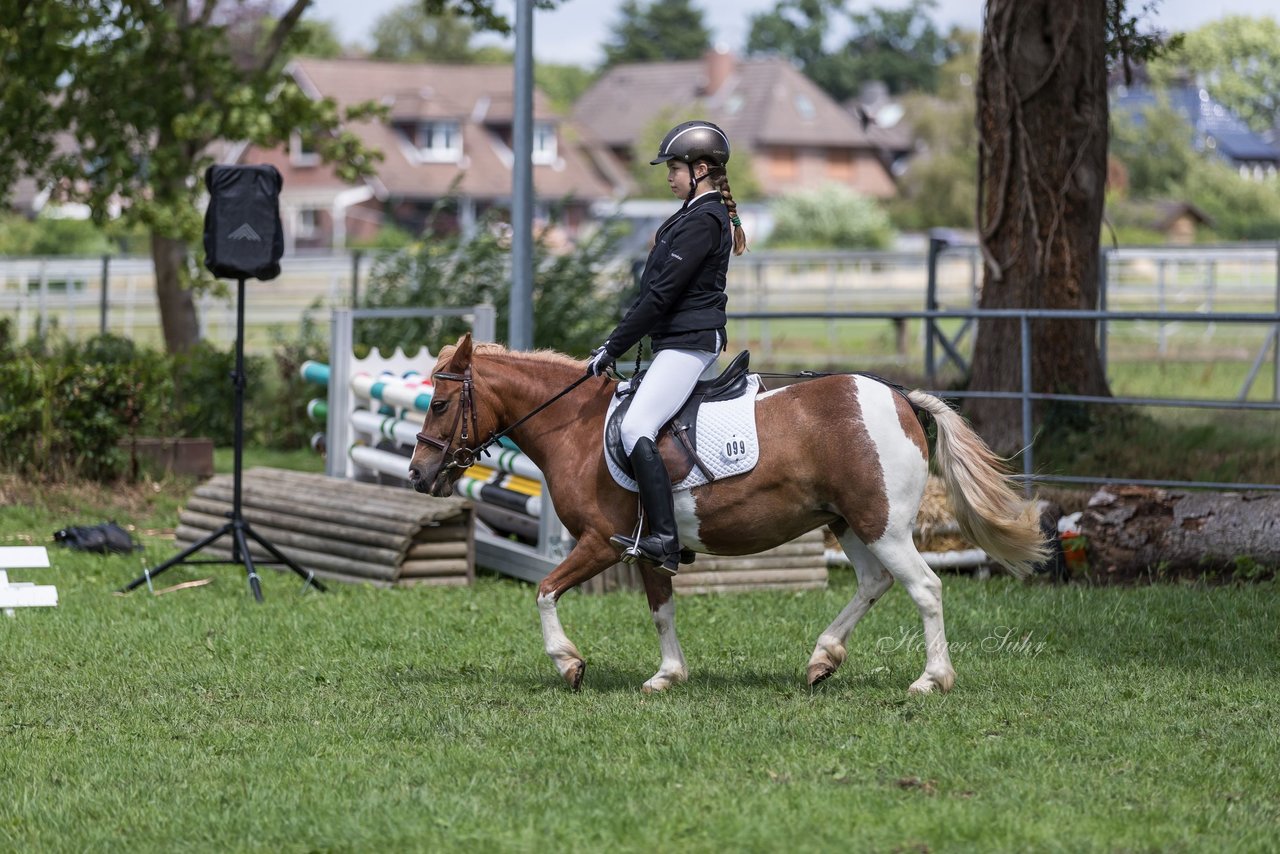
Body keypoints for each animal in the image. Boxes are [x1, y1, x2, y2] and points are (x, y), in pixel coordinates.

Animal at [409, 332, 1049, 696]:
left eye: (438, 403)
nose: (418, 475)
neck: (580, 429)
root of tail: (899, 397)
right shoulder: (650, 547)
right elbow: (661, 610)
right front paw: (667, 675)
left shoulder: (602, 541)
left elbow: (544, 591)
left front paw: (569, 664)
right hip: (848, 524)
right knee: (874, 583)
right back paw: (822, 659)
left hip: (883, 527)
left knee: (924, 589)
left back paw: (931, 680)